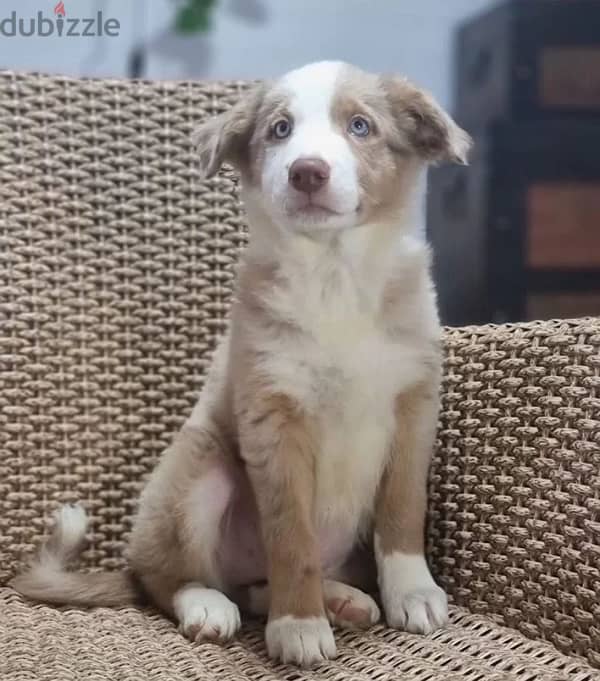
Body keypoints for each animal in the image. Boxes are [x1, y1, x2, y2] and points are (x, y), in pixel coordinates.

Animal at [9, 61, 468, 668]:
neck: (334, 277)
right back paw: (210, 605)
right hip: (198, 475)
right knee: (171, 580)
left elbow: (402, 511)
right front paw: (299, 627)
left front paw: (412, 592)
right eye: (279, 129)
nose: (307, 172)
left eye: (361, 126)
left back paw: (343, 598)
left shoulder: (414, 406)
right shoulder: (273, 418)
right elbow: (292, 539)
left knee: (254, 587)